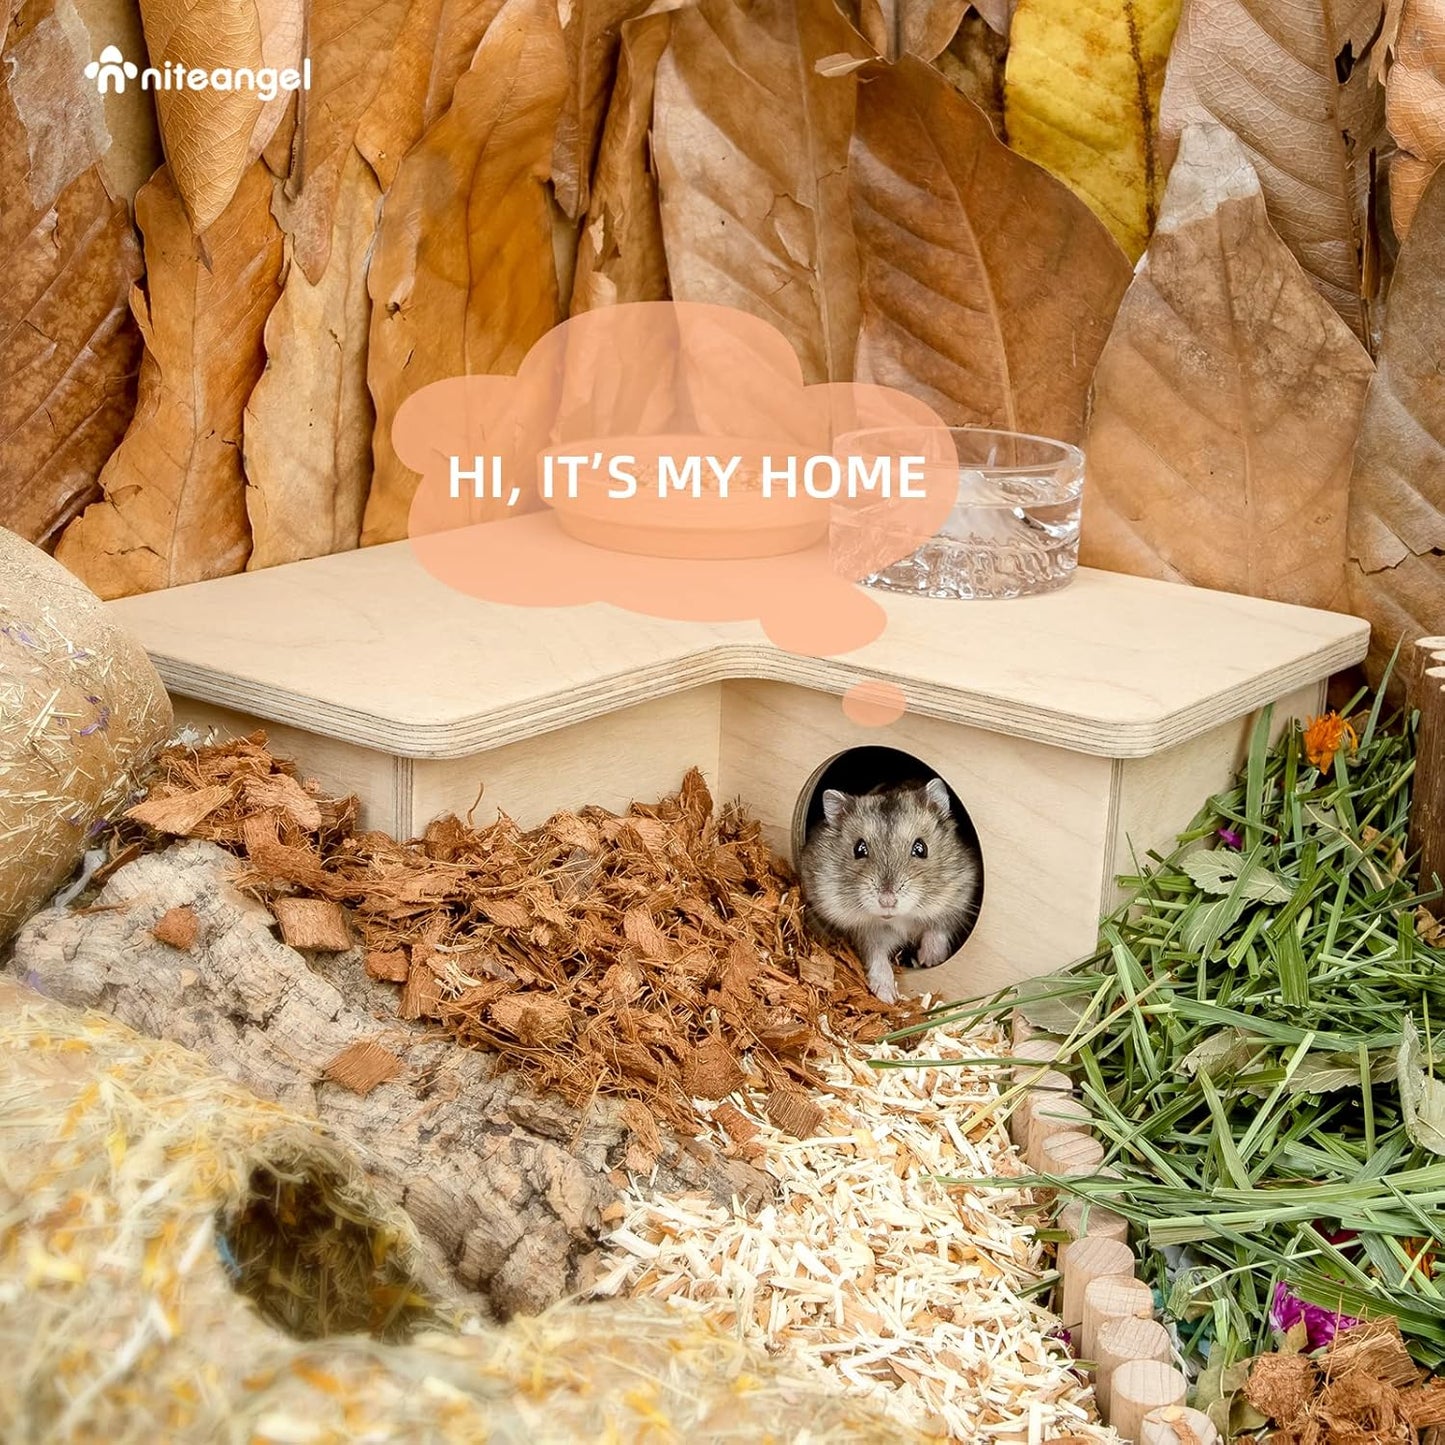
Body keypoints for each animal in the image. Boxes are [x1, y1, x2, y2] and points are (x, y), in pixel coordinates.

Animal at [799, 778, 981, 1005]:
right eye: (859, 849)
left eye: (921, 848)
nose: (887, 901)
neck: (901, 918)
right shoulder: (864, 930)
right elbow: (875, 954)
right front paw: (886, 996)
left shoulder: (960, 895)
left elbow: (939, 927)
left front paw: (930, 960)